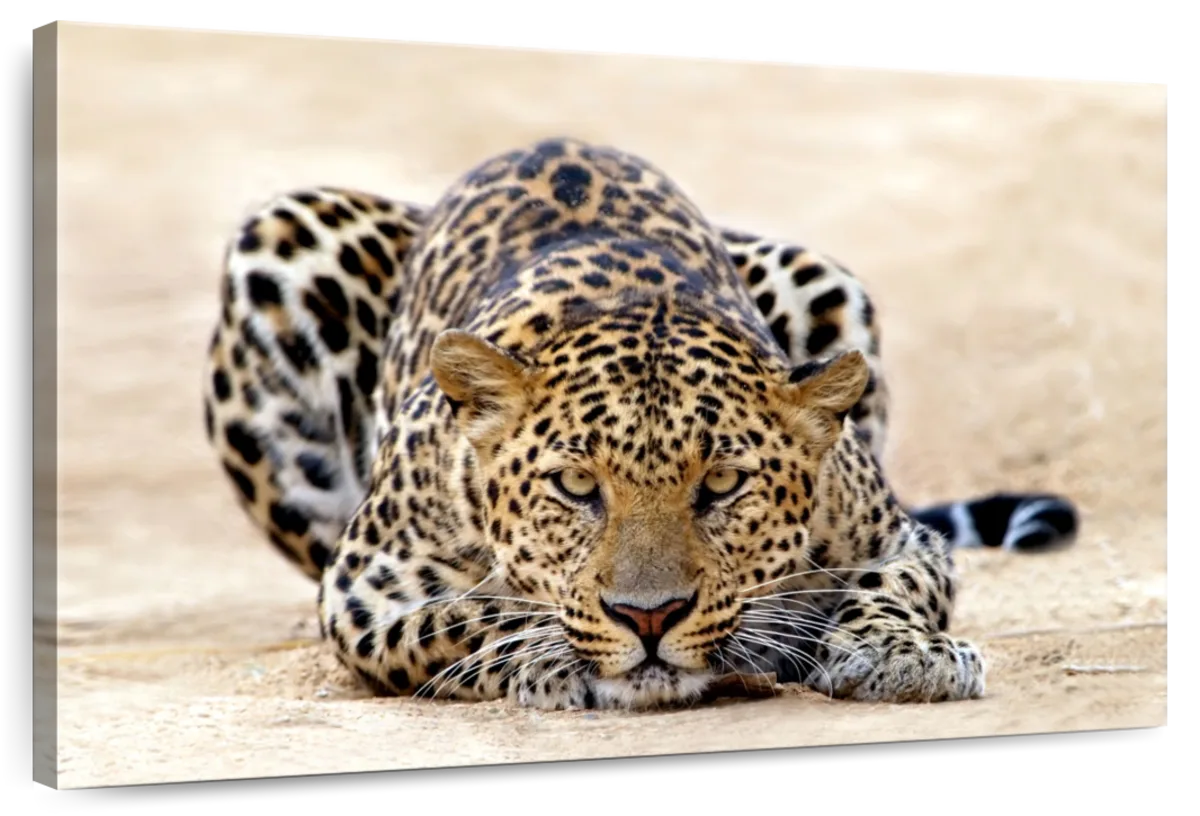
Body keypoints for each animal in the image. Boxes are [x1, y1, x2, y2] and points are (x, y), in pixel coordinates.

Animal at [202, 137, 1078, 710]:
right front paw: (550, 655)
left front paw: (902, 651)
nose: (650, 617)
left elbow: (896, 587)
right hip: (282, 238)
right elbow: (467, 616)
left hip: (822, 275)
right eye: (574, 486)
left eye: (721, 484)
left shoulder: (897, 537)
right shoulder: (363, 591)